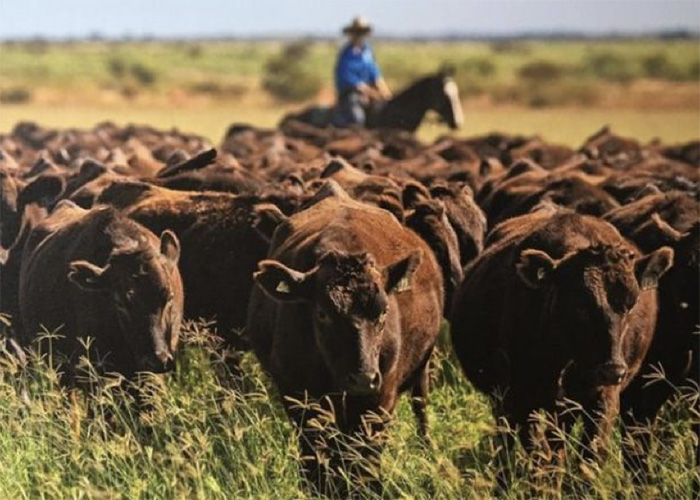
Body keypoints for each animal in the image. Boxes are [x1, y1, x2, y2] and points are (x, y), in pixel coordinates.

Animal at [247, 187, 442, 492]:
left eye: (384, 311)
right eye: (322, 313)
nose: (362, 378)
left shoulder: (380, 399)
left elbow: (366, 462)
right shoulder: (299, 397)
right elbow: (316, 459)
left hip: (422, 368)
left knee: (421, 407)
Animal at [452, 207, 676, 468]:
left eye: (631, 304)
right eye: (579, 305)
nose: (613, 369)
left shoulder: (603, 399)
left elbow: (590, 455)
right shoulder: (524, 398)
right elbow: (543, 457)